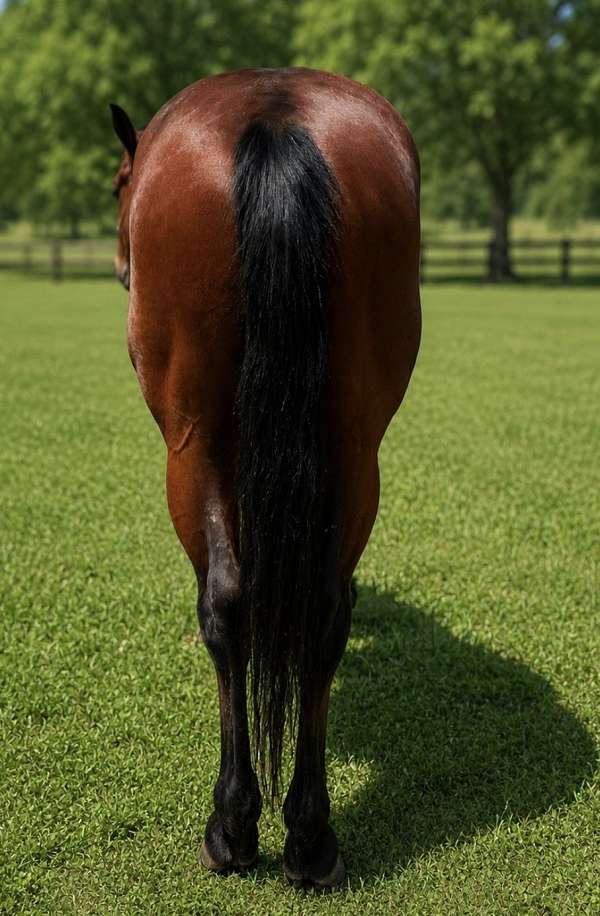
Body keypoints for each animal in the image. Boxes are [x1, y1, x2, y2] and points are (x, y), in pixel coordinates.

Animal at [110, 67, 421, 888]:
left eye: (117, 183)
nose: (120, 268)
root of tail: (275, 116)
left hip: (191, 448)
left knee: (223, 604)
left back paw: (233, 826)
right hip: (355, 451)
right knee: (324, 609)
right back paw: (311, 838)